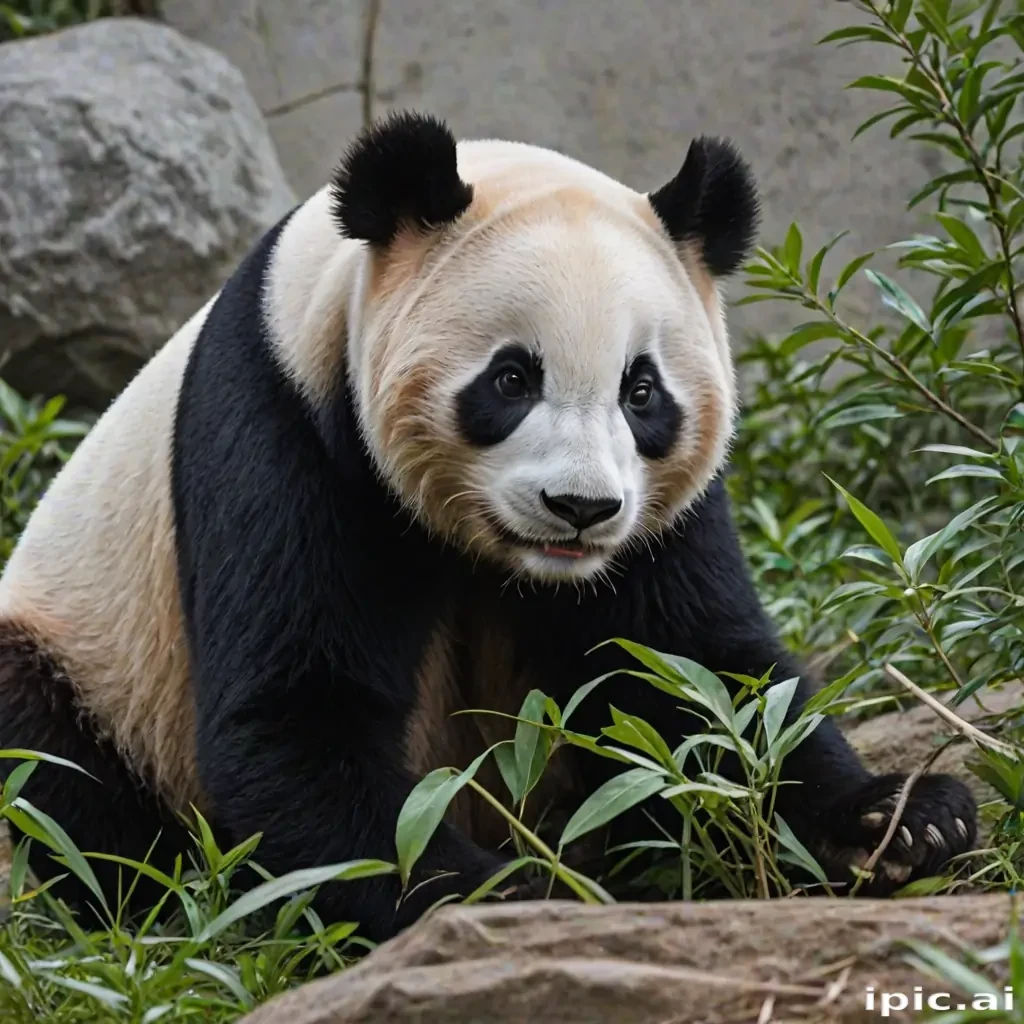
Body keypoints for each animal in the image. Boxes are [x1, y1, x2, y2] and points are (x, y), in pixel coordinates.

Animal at [0, 111, 976, 941]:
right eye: (511, 379)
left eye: (642, 390)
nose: (580, 509)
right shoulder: (284, 418)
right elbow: (295, 716)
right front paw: (521, 896)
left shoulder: (664, 516)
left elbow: (697, 670)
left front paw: (902, 821)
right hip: (84, 658)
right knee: (54, 770)